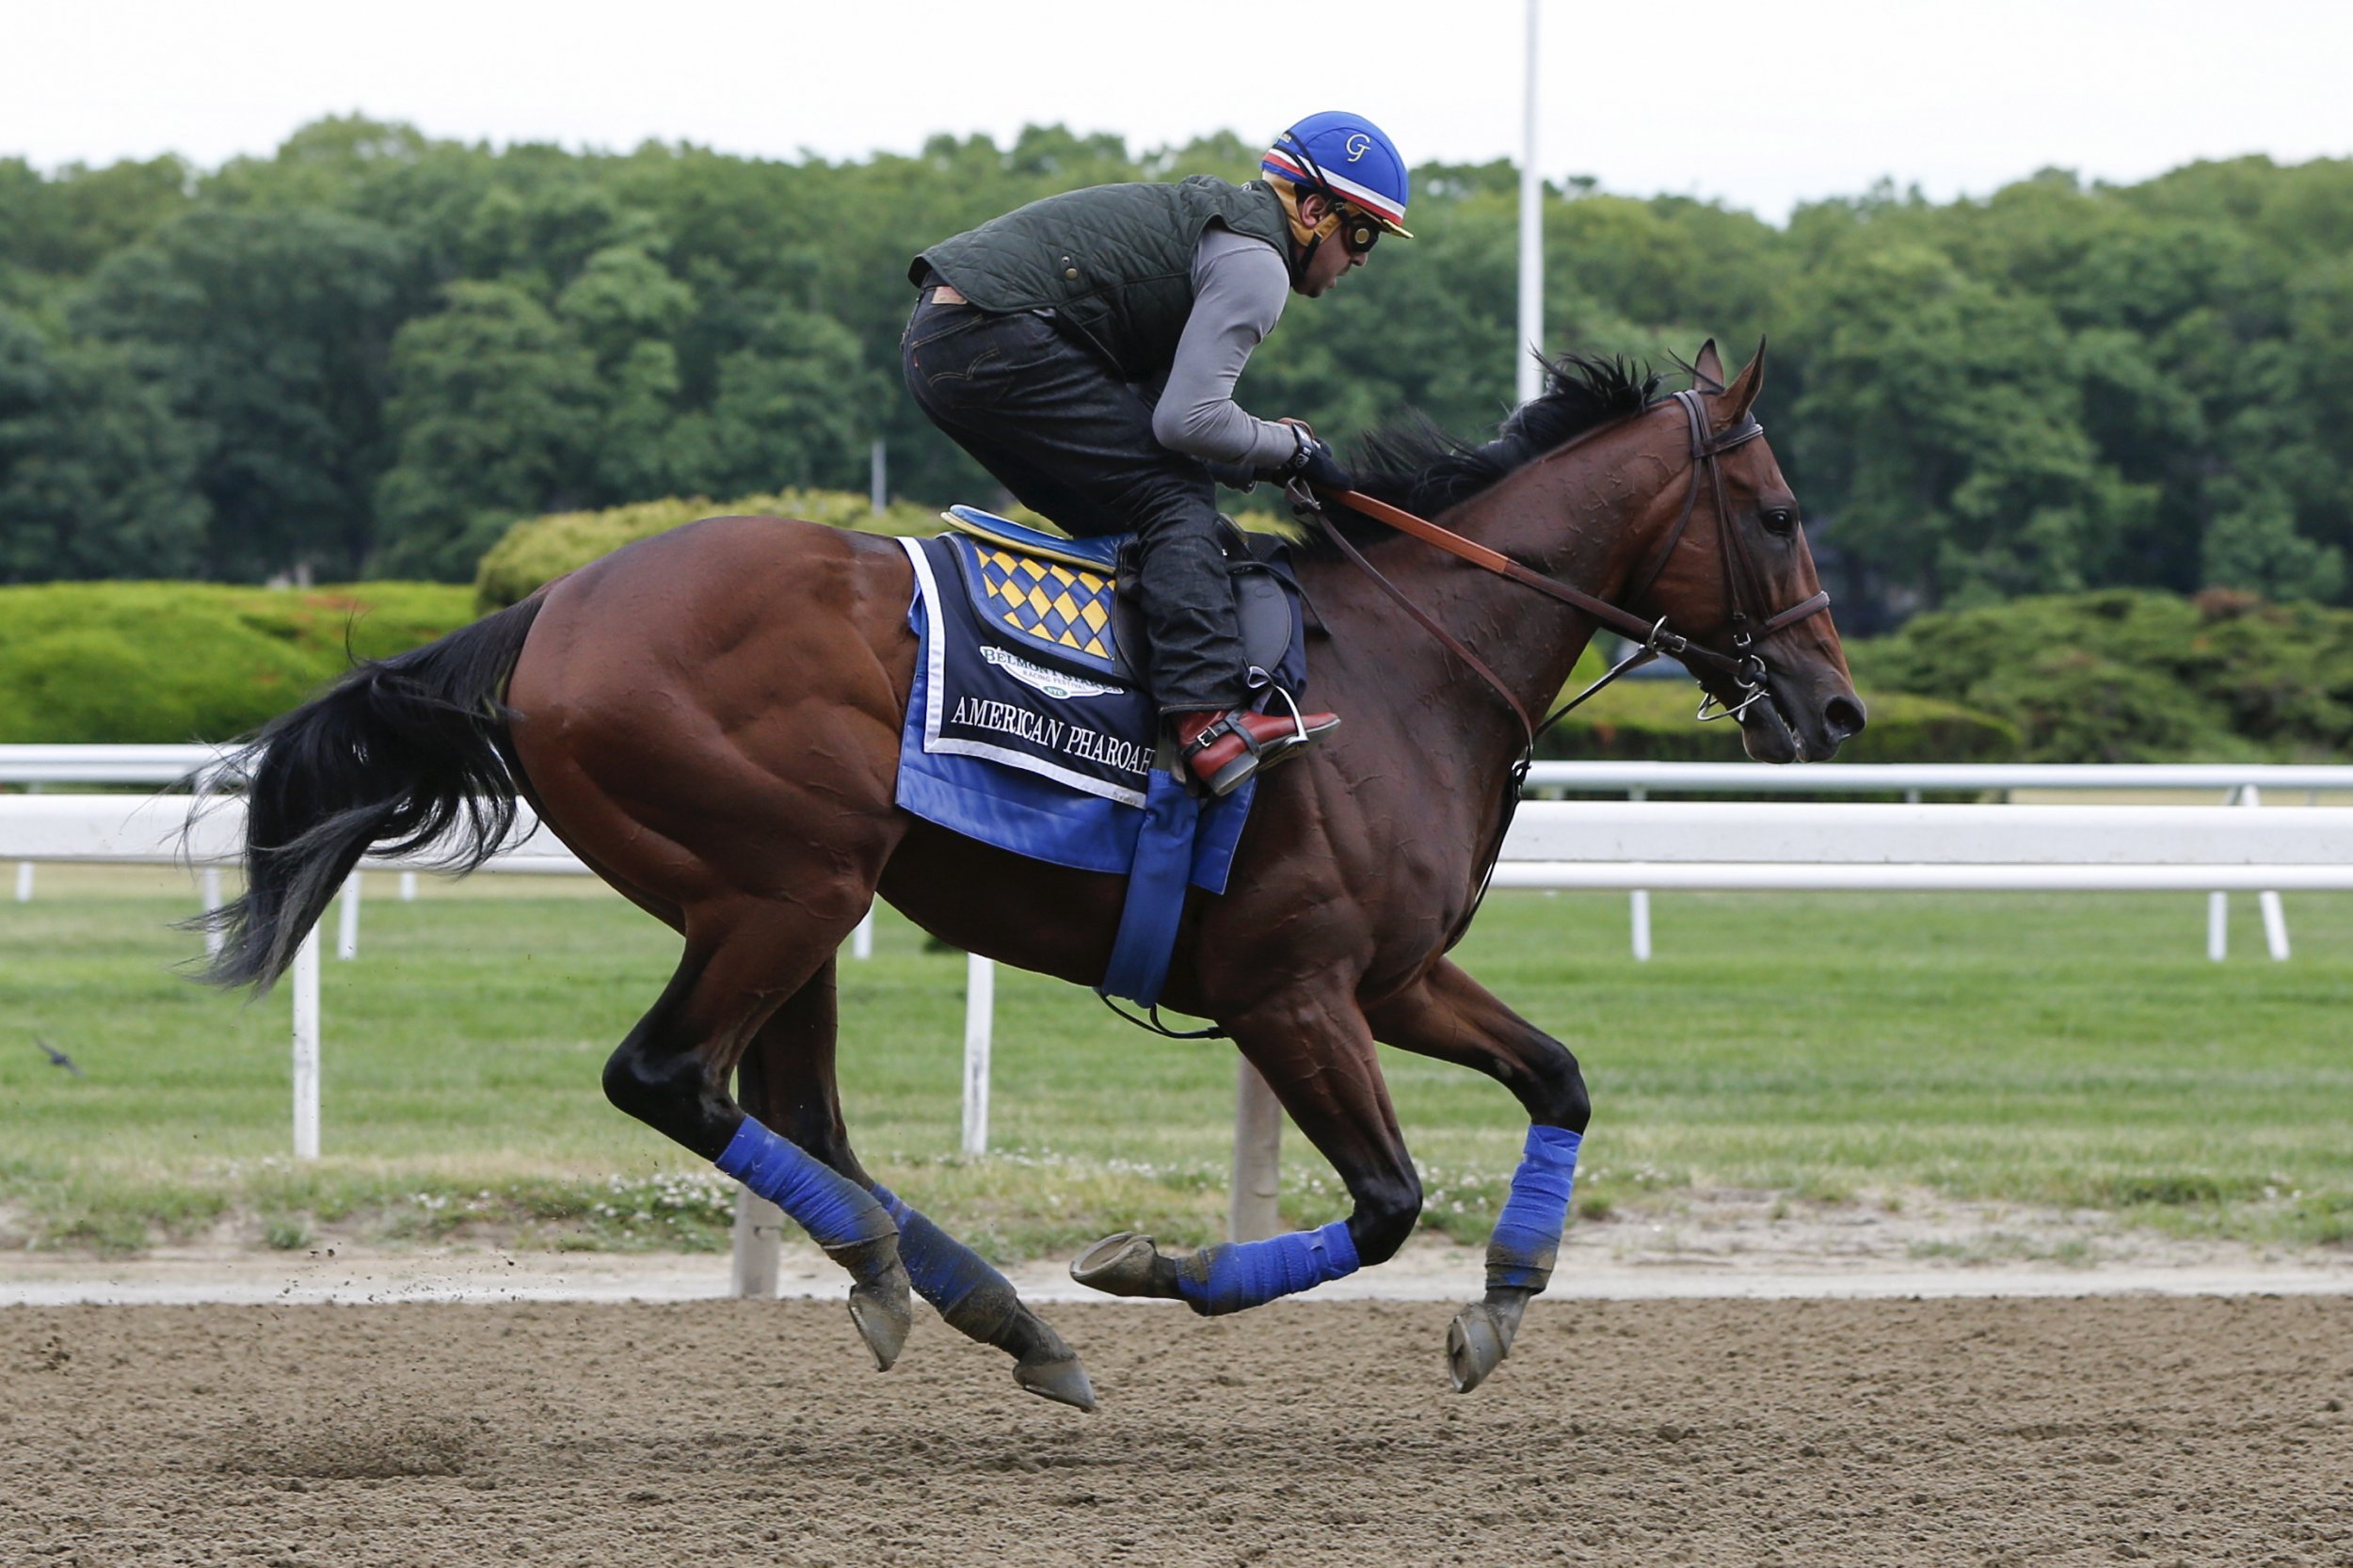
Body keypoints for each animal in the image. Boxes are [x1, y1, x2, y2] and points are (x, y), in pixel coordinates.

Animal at [202, 339, 1854, 1402]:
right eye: (1779, 512)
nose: (1834, 709)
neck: (1405, 667)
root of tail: (548, 609)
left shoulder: (1391, 974)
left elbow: (1559, 1075)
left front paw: (1505, 1300)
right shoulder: (1291, 988)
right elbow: (1386, 1199)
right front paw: (1150, 1267)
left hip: (793, 903)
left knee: (791, 1107)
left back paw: (977, 1307)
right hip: (790, 882)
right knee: (670, 1077)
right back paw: (936, 1284)